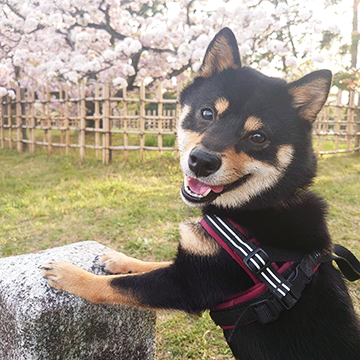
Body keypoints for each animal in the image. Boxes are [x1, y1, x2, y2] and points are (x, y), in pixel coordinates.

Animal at [43, 28, 360, 360]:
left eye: (258, 137)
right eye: (207, 113)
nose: (202, 161)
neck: (255, 208)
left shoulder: (192, 284)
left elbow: (119, 286)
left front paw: (69, 275)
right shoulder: (191, 261)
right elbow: (151, 264)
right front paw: (117, 258)